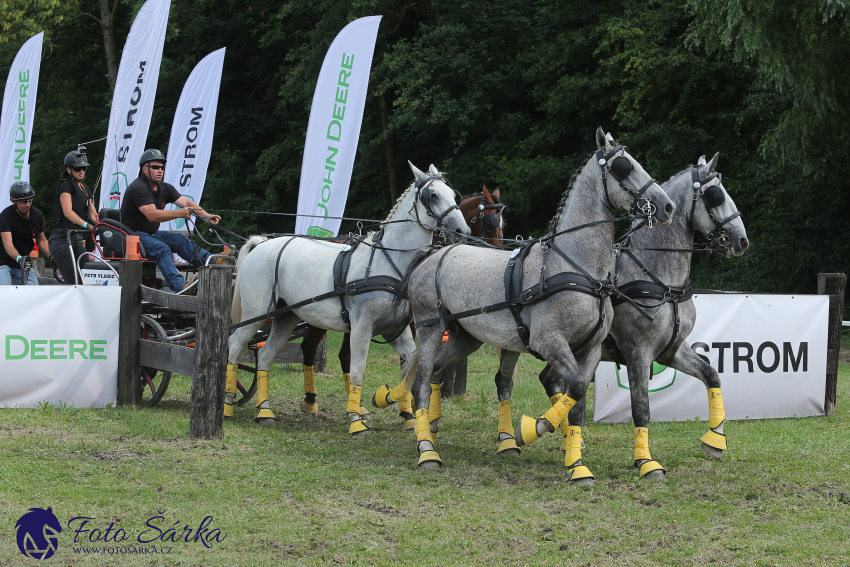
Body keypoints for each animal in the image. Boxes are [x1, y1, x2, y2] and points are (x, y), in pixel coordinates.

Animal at [296, 186, 504, 426]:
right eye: (490, 223)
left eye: (504, 225)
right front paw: (405, 404)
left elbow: (408, 362)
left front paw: (406, 408)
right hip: (319, 317)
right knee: (309, 348)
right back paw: (311, 400)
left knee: (345, 356)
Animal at [390, 130, 676, 474]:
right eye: (624, 166)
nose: (667, 206)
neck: (575, 268)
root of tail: (434, 254)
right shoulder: (548, 341)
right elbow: (574, 388)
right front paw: (530, 430)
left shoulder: (590, 349)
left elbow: (578, 401)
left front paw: (576, 463)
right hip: (430, 328)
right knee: (420, 382)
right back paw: (427, 450)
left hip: (465, 337)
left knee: (434, 373)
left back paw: (430, 428)